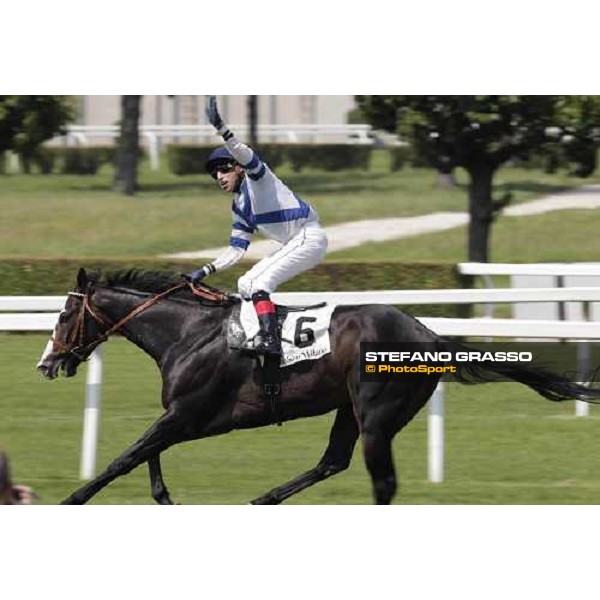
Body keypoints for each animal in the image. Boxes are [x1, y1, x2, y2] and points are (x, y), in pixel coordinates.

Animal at [38, 270, 600, 504]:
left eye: (64, 315)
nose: (46, 363)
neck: (189, 332)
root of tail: (430, 336)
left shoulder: (190, 415)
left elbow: (126, 457)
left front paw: (73, 499)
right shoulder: (184, 417)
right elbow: (146, 455)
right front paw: (162, 497)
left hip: (376, 413)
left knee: (380, 481)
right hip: (350, 408)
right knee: (333, 462)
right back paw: (263, 499)